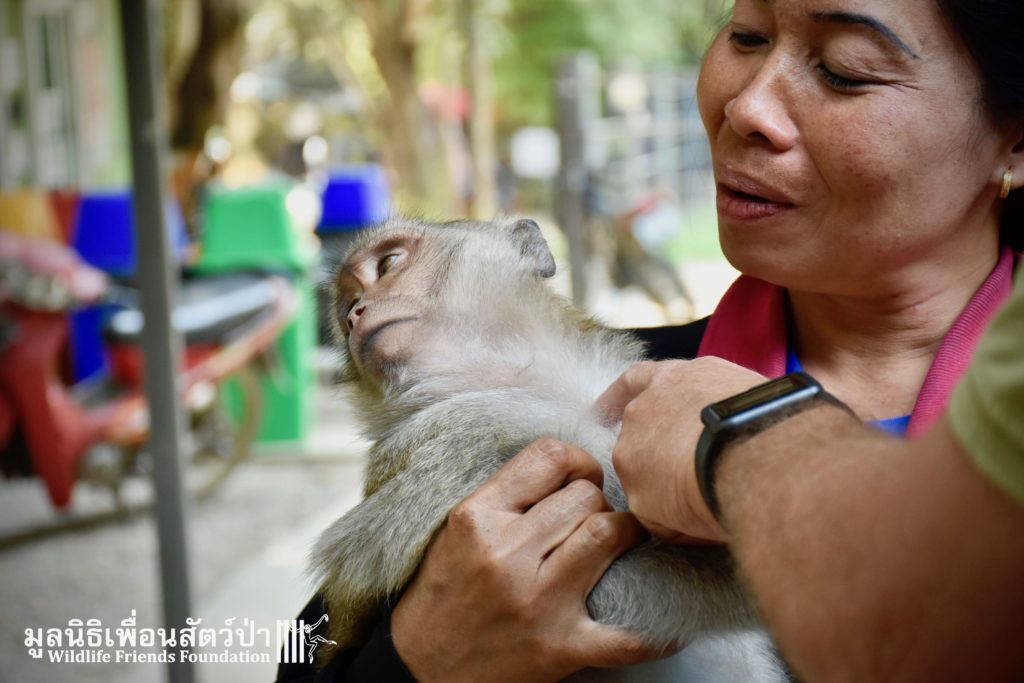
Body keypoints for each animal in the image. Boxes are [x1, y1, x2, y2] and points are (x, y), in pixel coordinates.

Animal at [311, 216, 788, 681]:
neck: (533, 382)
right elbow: (596, 594)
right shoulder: (463, 440)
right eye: (348, 305)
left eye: (388, 264)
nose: (356, 313)